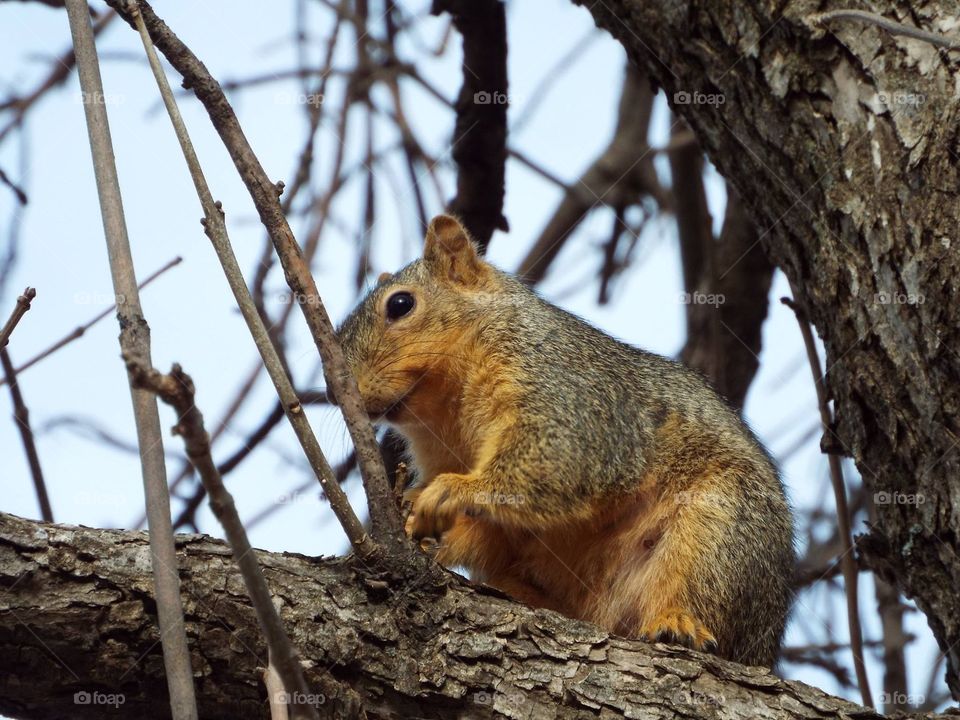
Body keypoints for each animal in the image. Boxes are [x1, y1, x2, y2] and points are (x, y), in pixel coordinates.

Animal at [334, 214, 795, 667]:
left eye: (400, 304)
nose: (343, 391)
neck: (447, 410)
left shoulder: (566, 393)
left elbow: (554, 462)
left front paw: (450, 490)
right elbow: (490, 530)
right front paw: (417, 517)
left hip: (722, 527)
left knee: (700, 586)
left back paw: (678, 623)